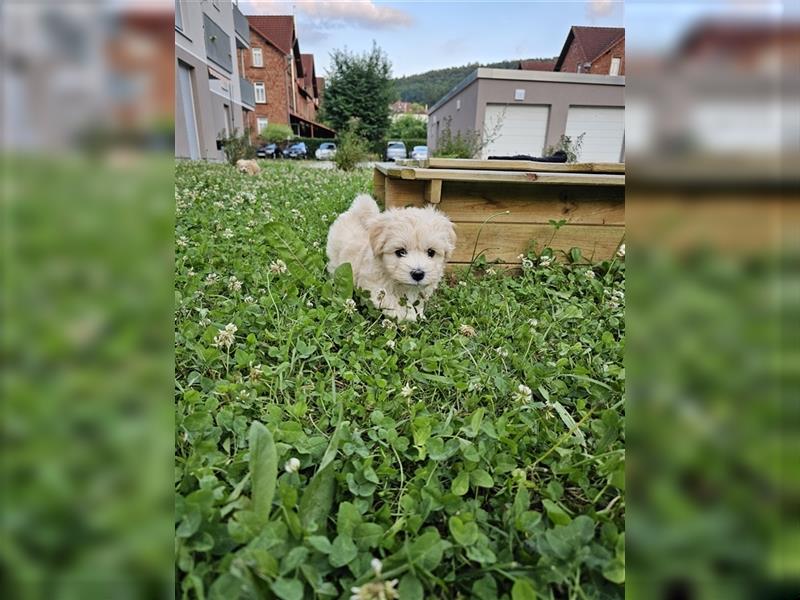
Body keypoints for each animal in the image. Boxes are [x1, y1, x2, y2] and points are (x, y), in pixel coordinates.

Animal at [326, 195, 456, 322]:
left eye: (431, 252)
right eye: (400, 252)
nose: (418, 274)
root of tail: (355, 213)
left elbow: (418, 304)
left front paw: (420, 315)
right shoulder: (374, 286)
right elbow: (392, 302)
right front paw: (409, 317)